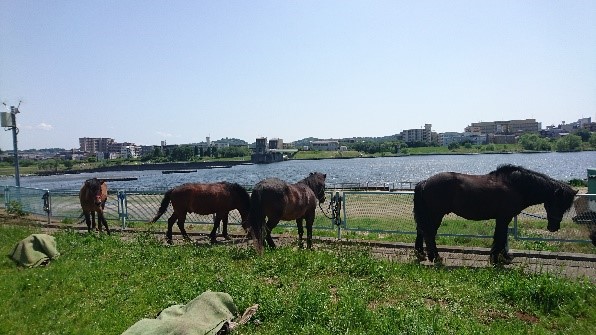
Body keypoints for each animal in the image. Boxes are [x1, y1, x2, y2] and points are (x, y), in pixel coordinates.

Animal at [414, 165, 576, 266]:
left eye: (565, 207)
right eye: (557, 204)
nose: (554, 227)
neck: (515, 186)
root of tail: (425, 182)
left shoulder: (503, 219)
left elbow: (501, 237)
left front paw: (504, 257)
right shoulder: (504, 218)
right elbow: (500, 237)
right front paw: (496, 259)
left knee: (422, 232)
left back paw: (421, 254)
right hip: (436, 215)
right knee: (429, 234)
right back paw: (436, 258)